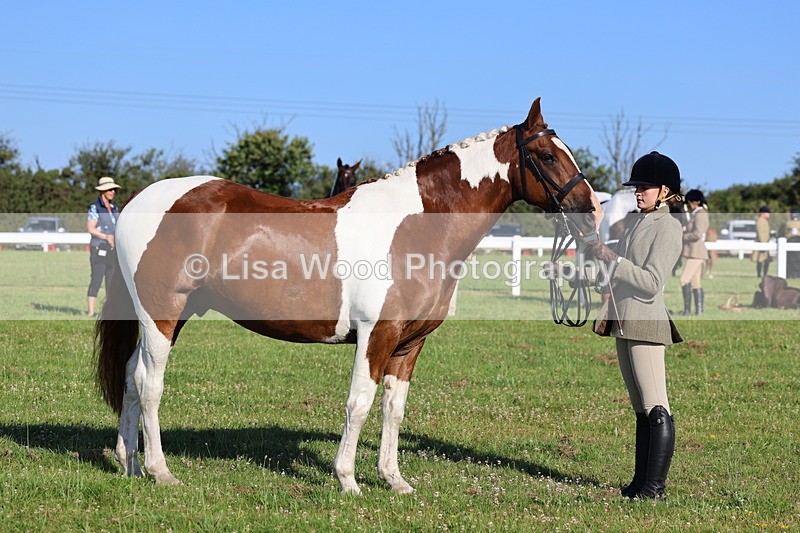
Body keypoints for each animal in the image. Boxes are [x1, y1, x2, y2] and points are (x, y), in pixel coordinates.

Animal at [95, 98, 603, 494]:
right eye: (547, 155)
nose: (593, 211)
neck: (415, 228)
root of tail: (139, 202)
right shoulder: (375, 336)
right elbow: (359, 403)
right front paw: (348, 480)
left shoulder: (409, 344)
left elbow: (394, 410)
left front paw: (394, 479)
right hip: (161, 314)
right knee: (149, 383)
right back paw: (160, 471)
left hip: (171, 316)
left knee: (130, 378)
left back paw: (129, 463)